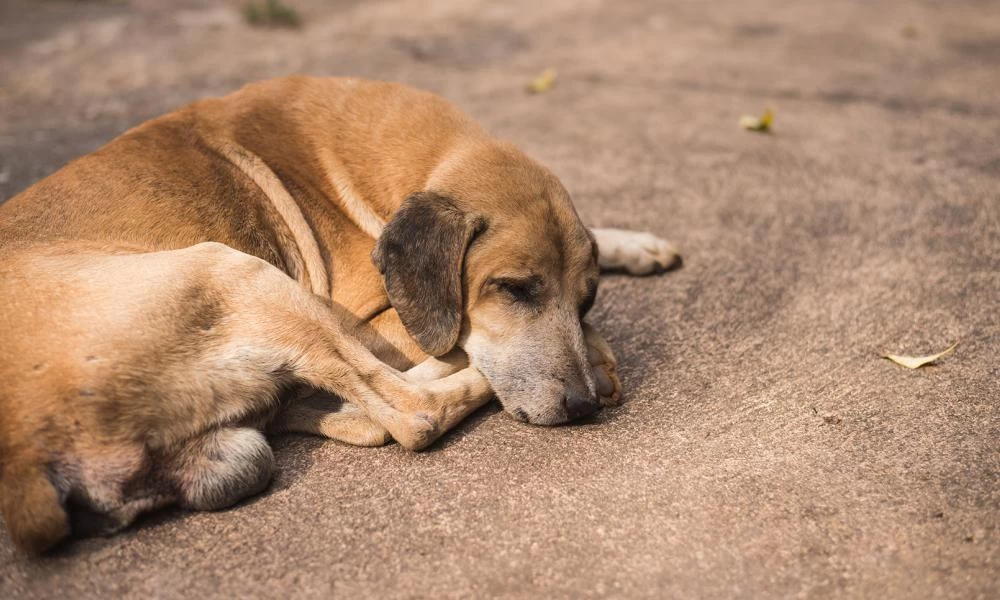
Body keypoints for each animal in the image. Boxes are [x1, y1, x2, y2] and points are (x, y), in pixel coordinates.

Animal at [0, 77, 680, 556]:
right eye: (514, 290)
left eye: (586, 296)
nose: (582, 405)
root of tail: (24, 469)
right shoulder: (372, 322)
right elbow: (443, 353)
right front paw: (593, 345)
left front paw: (631, 245)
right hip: (238, 271)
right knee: (411, 413)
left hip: (241, 435)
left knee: (340, 414)